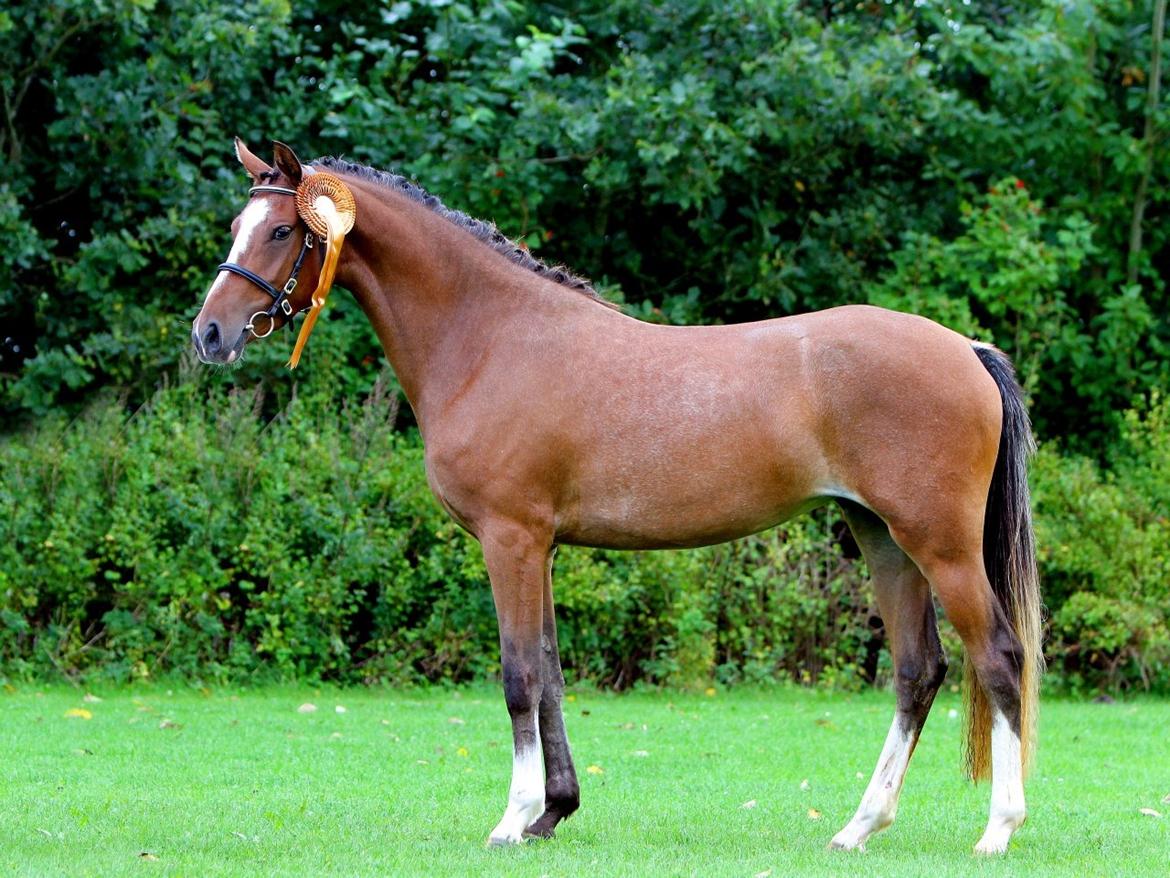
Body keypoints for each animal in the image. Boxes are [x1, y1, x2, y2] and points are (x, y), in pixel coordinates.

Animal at [191, 139, 1042, 854]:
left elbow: (519, 679)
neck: (490, 336)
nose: (210, 335)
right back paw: (857, 828)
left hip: (939, 545)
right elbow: (550, 673)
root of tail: (966, 347)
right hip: (880, 537)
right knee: (918, 671)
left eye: (280, 231)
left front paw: (511, 820)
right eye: (238, 225)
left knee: (999, 657)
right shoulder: (542, 546)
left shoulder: (510, 539)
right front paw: (553, 812)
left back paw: (997, 831)